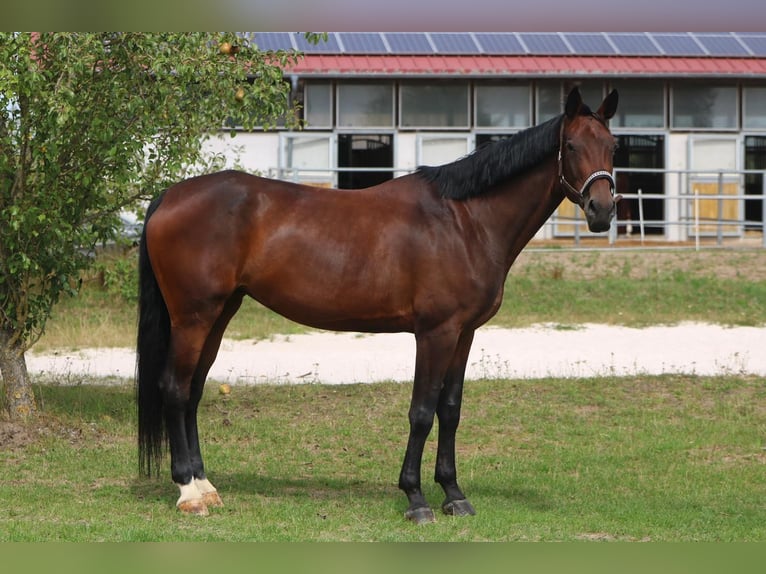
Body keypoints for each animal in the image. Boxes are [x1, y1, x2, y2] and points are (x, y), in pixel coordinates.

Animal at [136, 87, 620, 524]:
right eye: (571, 145)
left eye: (613, 146)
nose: (601, 210)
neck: (464, 221)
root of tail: (170, 196)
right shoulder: (435, 333)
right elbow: (422, 412)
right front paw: (417, 499)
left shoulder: (464, 333)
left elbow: (450, 409)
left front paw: (454, 495)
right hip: (193, 317)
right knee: (175, 389)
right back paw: (188, 492)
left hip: (220, 313)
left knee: (194, 390)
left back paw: (205, 486)